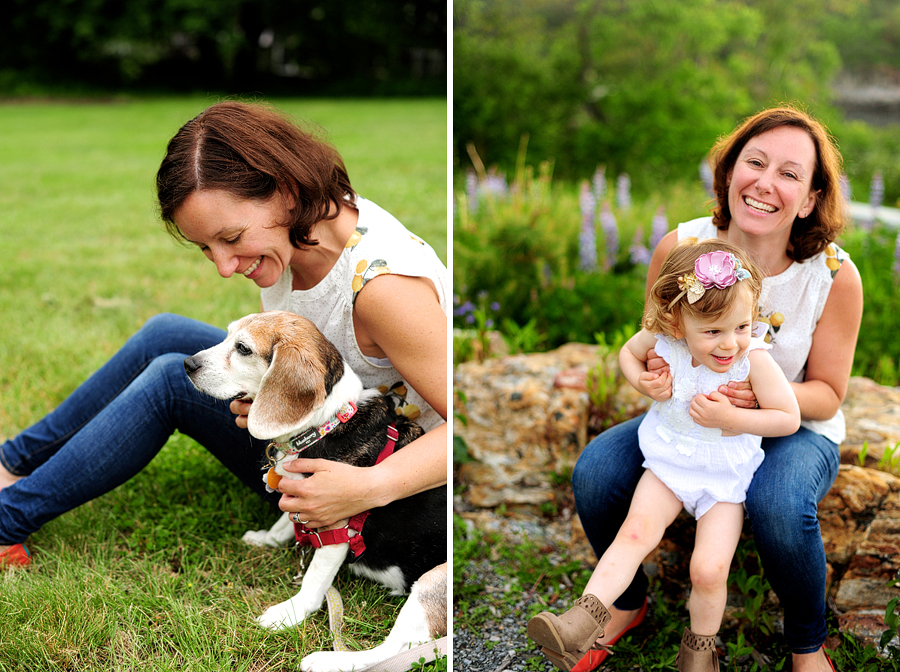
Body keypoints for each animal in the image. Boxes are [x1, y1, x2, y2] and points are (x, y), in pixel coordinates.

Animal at [184, 312, 446, 668]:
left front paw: (289, 613)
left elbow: (313, 580)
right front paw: (267, 538)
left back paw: (327, 661)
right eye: (227, 335)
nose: (187, 364)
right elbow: (284, 520)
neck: (323, 425)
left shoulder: (336, 525)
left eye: (243, 348)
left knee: (397, 649)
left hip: (433, 581)